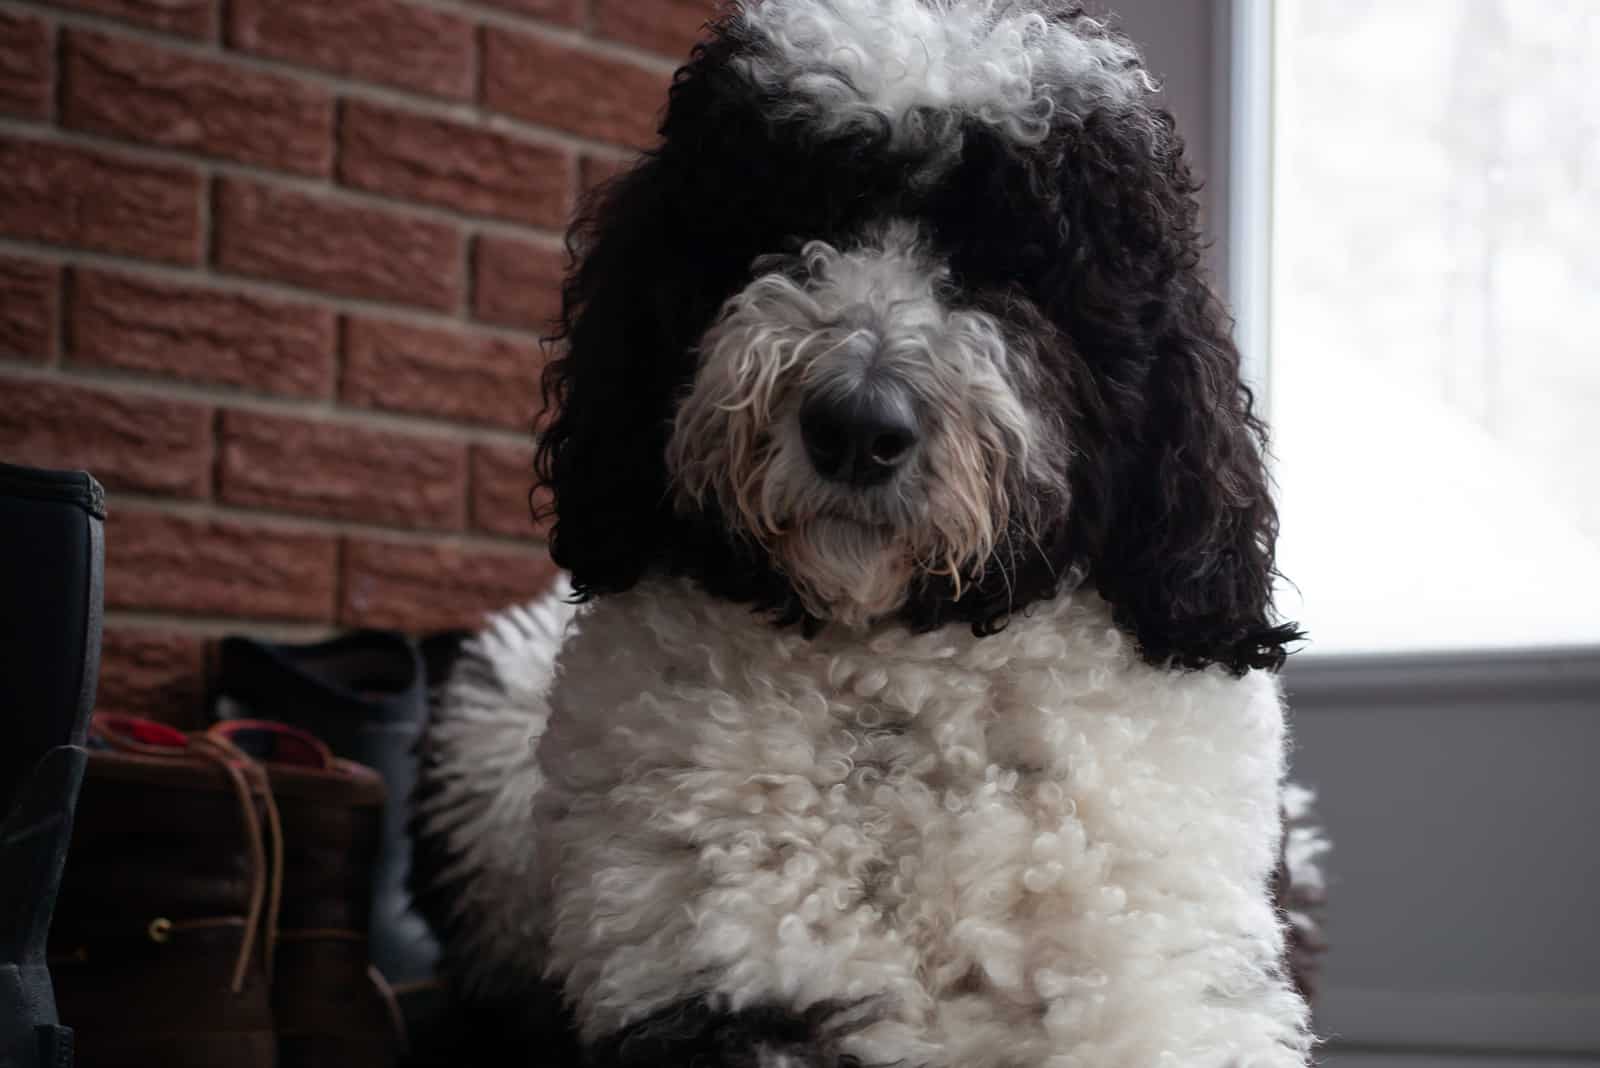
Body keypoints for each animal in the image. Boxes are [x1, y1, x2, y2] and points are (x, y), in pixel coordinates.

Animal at [412, 4, 1324, 1061]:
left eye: (1014, 261)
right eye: (788, 222)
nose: (856, 425)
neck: (901, 679)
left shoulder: (1159, 989)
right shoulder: (725, 971)